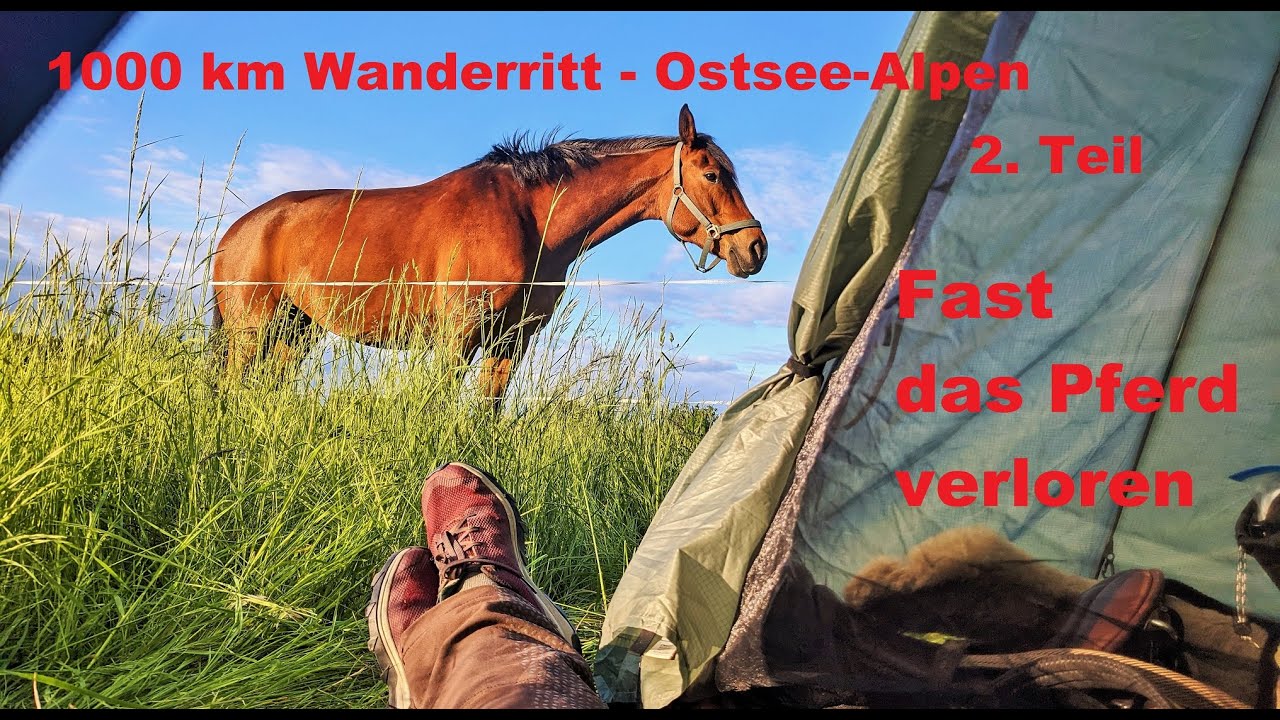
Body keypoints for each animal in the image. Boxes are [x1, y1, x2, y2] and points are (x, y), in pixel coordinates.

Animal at [210, 104, 767, 404]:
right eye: (712, 174)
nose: (755, 247)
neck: (528, 217)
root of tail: (239, 230)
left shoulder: (510, 342)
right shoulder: (457, 337)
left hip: (293, 335)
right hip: (251, 335)